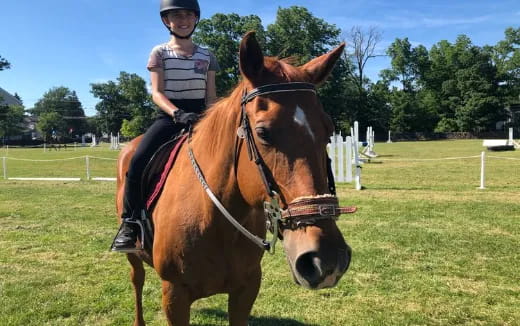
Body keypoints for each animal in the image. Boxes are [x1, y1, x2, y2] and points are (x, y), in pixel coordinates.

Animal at [117, 32, 352, 326]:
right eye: (262, 132)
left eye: (328, 130)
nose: (326, 259)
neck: (213, 218)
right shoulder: (174, 295)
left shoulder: (246, 289)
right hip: (134, 256)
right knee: (136, 279)